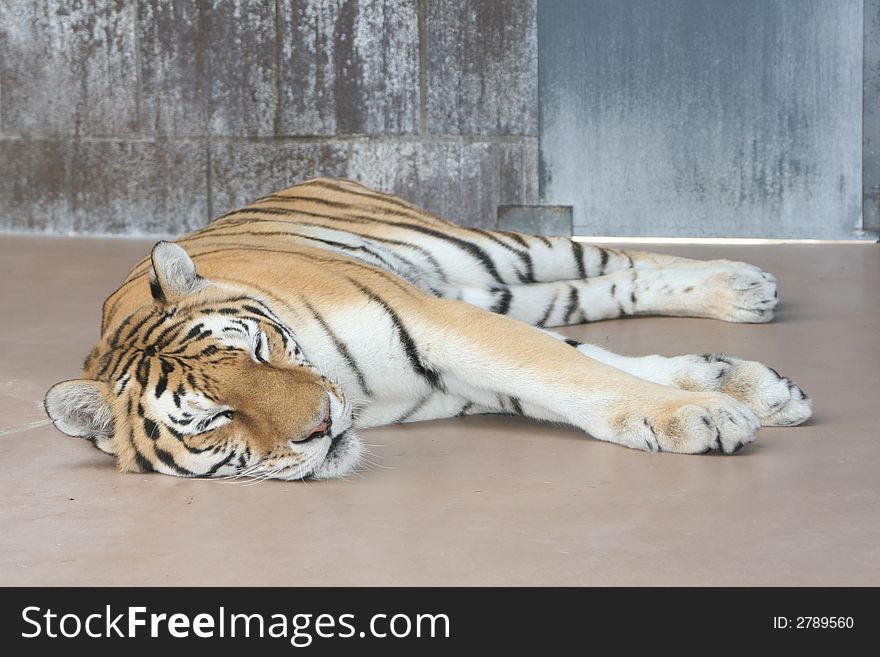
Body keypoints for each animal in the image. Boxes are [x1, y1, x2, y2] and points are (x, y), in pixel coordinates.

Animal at [43, 177, 812, 480]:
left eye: (260, 349)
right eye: (215, 418)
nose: (322, 424)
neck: (357, 391)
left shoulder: (442, 323)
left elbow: (572, 371)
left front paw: (703, 412)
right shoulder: (451, 368)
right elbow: (579, 370)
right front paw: (728, 395)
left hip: (485, 250)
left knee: (620, 259)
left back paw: (745, 285)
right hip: (489, 285)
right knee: (589, 296)